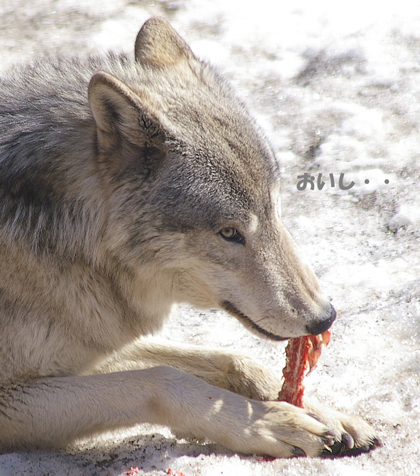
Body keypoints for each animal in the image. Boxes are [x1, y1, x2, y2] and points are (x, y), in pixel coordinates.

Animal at [0, 18, 380, 458]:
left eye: (276, 211)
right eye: (230, 232)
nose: (325, 318)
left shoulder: (87, 345)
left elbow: (234, 361)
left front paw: (326, 414)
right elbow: (161, 379)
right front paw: (271, 423)